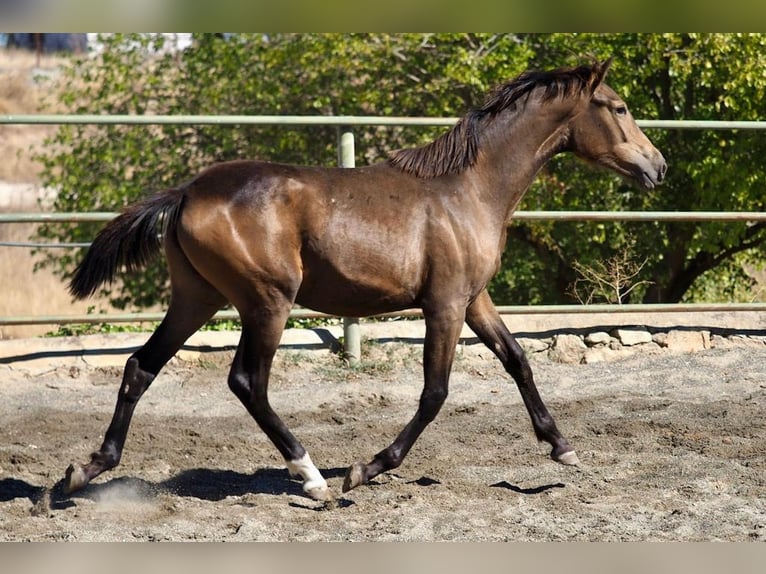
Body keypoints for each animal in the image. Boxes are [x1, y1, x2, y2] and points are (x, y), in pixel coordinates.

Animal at [62, 59, 666, 501]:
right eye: (619, 107)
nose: (657, 167)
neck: (468, 189)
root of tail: (186, 191)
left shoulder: (474, 300)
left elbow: (517, 359)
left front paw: (563, 447)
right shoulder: (444, 305)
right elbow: (435, 392)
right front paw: (366, 468)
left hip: (197, 298)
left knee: (141, 367)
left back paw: (81, 473)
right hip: (267, 302)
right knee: (247, 381)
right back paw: (312, 478)